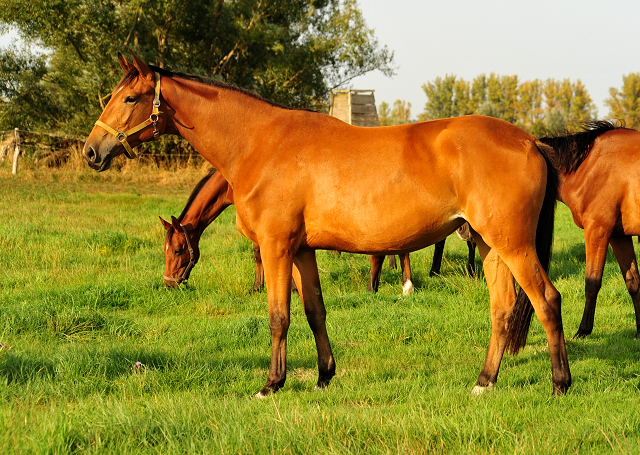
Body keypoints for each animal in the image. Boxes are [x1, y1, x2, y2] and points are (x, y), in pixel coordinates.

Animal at [84, 52, 568, 396]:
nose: (92, 151)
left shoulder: (276, 246)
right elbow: (315, 311)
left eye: (130, 98)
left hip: (514, 244)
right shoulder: (301, 249)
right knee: (503, 308)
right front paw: (323, 376)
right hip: (489, 244)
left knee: (546, 300)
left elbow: (278, 316)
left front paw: (271, 384)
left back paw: (560, 383)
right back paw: (484, 382)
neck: (260, 142)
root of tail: (529, 140)